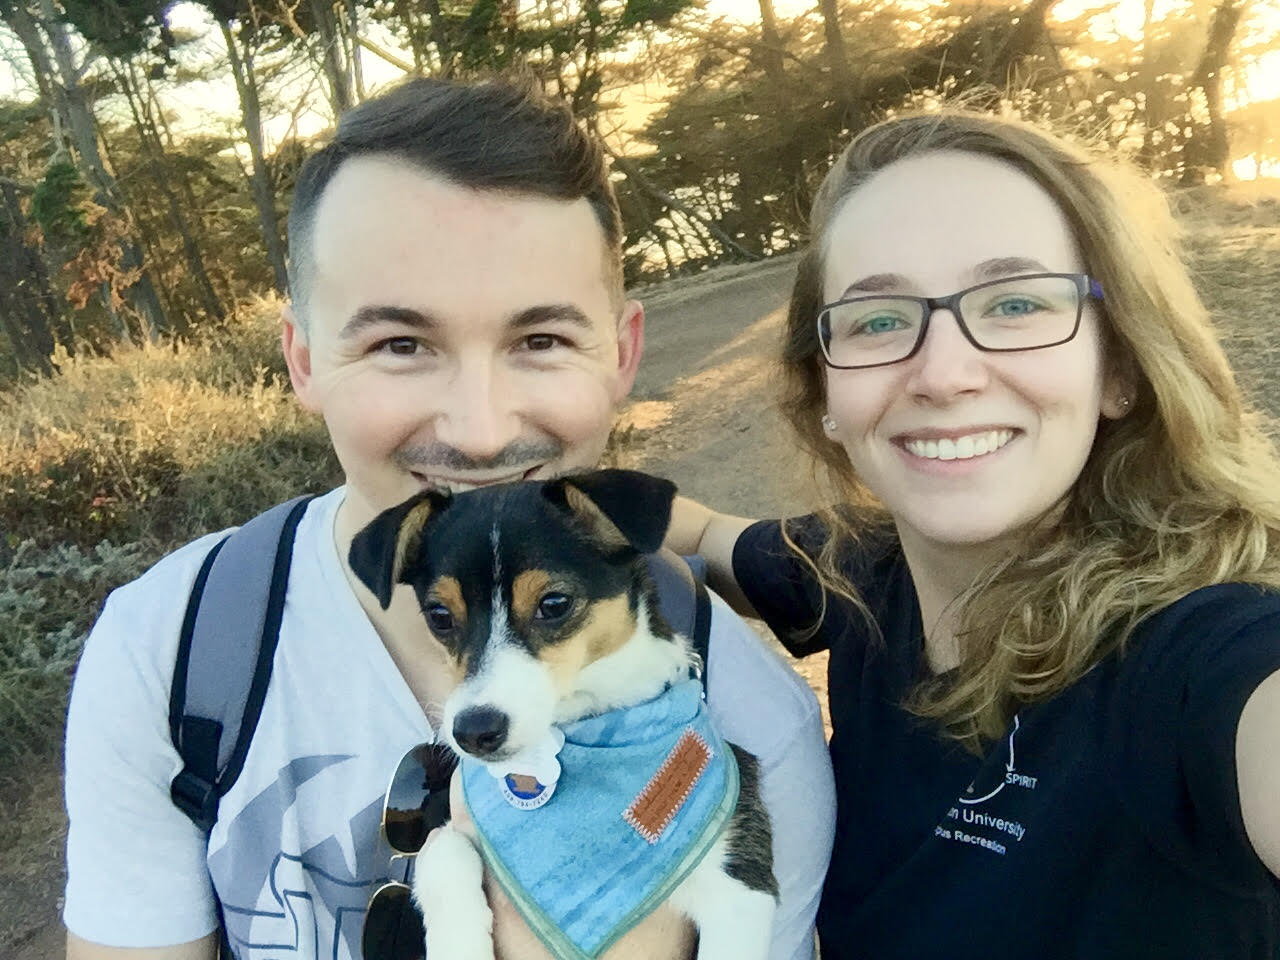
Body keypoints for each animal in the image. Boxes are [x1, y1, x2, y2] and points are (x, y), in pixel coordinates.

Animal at [345, 471, 773, 960]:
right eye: (439, 615)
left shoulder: (742, 886)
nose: (473, 731)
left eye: (553, 604)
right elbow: (442, 850)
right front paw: (459, 944)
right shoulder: (450, 832)